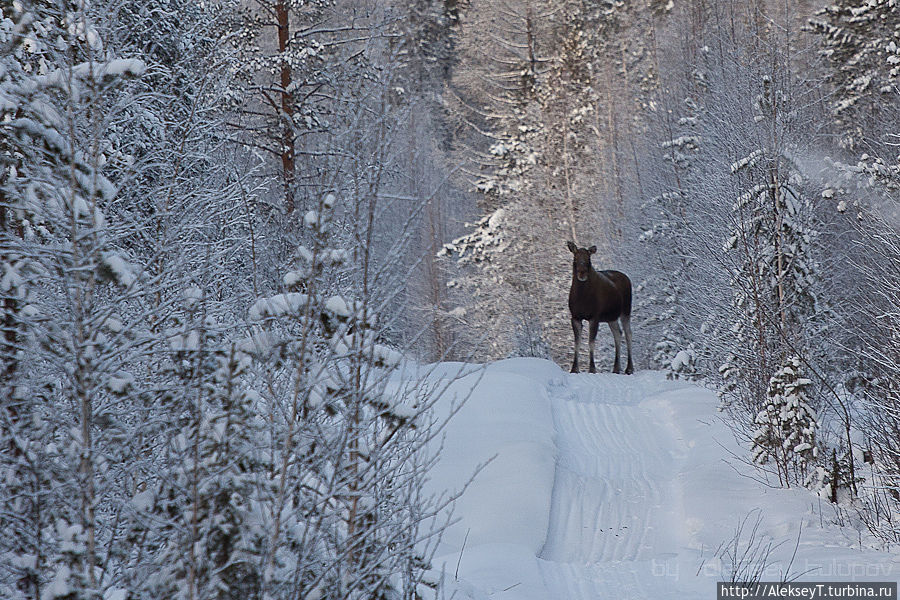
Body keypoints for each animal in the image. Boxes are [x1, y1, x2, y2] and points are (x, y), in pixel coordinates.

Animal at [568, 240, 632, 376]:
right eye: (575, 258)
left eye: (588, 258)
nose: (582, 273)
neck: (581, 297)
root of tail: (626, 278)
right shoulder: (575, 317)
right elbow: (577, 343)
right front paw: (574, 369)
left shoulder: (594, 317)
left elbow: (591, 342)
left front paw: (592, 369)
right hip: (611, 317)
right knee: (618, 333)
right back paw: (616, 368)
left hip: (626, 310)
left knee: (628, 333)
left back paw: (629, 368)